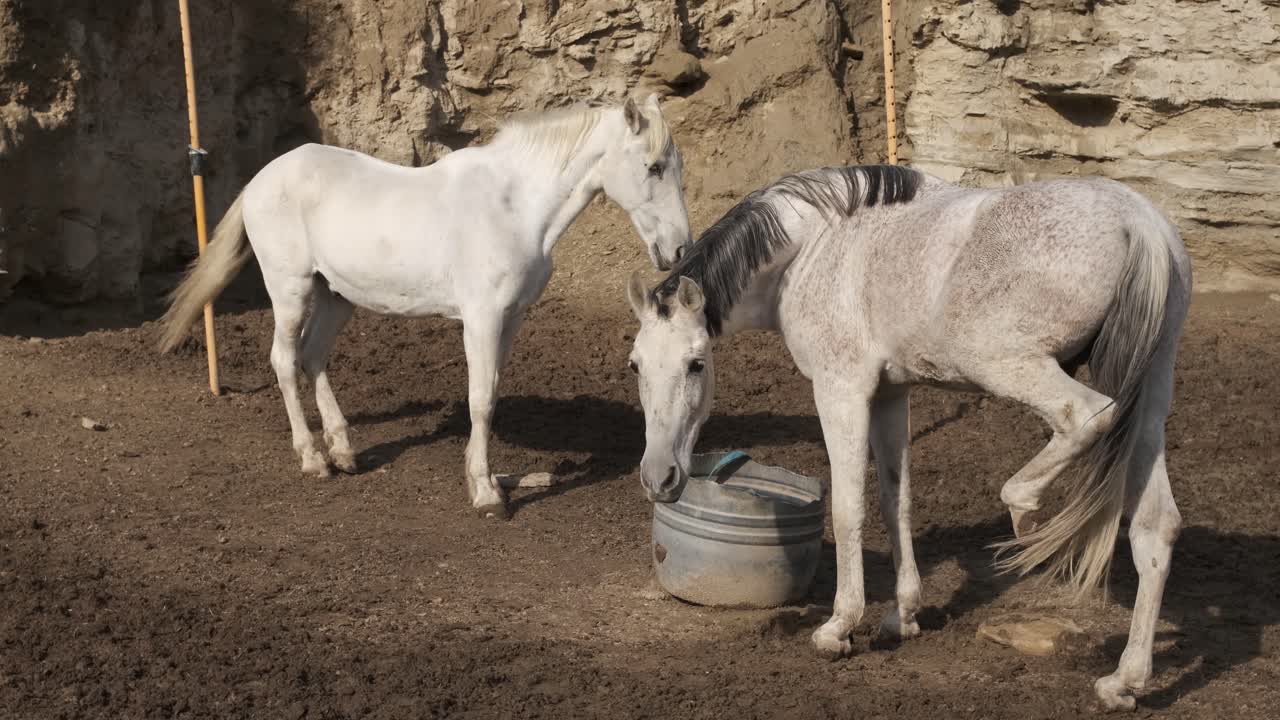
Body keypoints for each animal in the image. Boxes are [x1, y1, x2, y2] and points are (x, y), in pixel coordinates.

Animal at [160, 95, 692, 519]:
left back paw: (344, 451)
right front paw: (487, 495)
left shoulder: (511, 319)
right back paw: (313, 458)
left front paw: (489, 480)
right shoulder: (481, 319)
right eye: (653, 167)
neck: (515, 207)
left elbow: (490, 394)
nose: (680, 249)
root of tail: (259, 181)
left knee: (312, 358)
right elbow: (480, 400)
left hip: (335, 297)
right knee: (285, 361)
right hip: (291, 291)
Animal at [626, 164, 1191, 711]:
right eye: (634, 365)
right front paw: (902, 617)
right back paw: (1124, 681)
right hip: (1149, 394)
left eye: (696, 364)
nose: (659, 477)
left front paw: (839, 628)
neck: (812, 247)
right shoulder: (891, 395)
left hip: (1012, 367)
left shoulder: (842, 389)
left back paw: (1025, 511)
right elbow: (895, 500)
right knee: (1156, 526)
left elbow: (848, 508)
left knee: (1085, 418)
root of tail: (1140, 222)